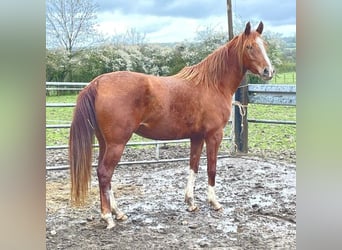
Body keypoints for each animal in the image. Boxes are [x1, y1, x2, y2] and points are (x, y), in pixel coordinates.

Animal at [69, 21, 276, 229]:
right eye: (249, 47)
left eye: (264, 45)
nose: (268, 71)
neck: (212, 84)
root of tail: (97, 83)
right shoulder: (214, 135)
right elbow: (212, 168)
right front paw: (214, 202)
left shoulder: (197, 137)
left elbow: (193, 166)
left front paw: (191, 202)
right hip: (116, 144)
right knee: (105, 173)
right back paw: (108, 217)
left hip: (105, 143)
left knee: (102, 174)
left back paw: (117, 213)